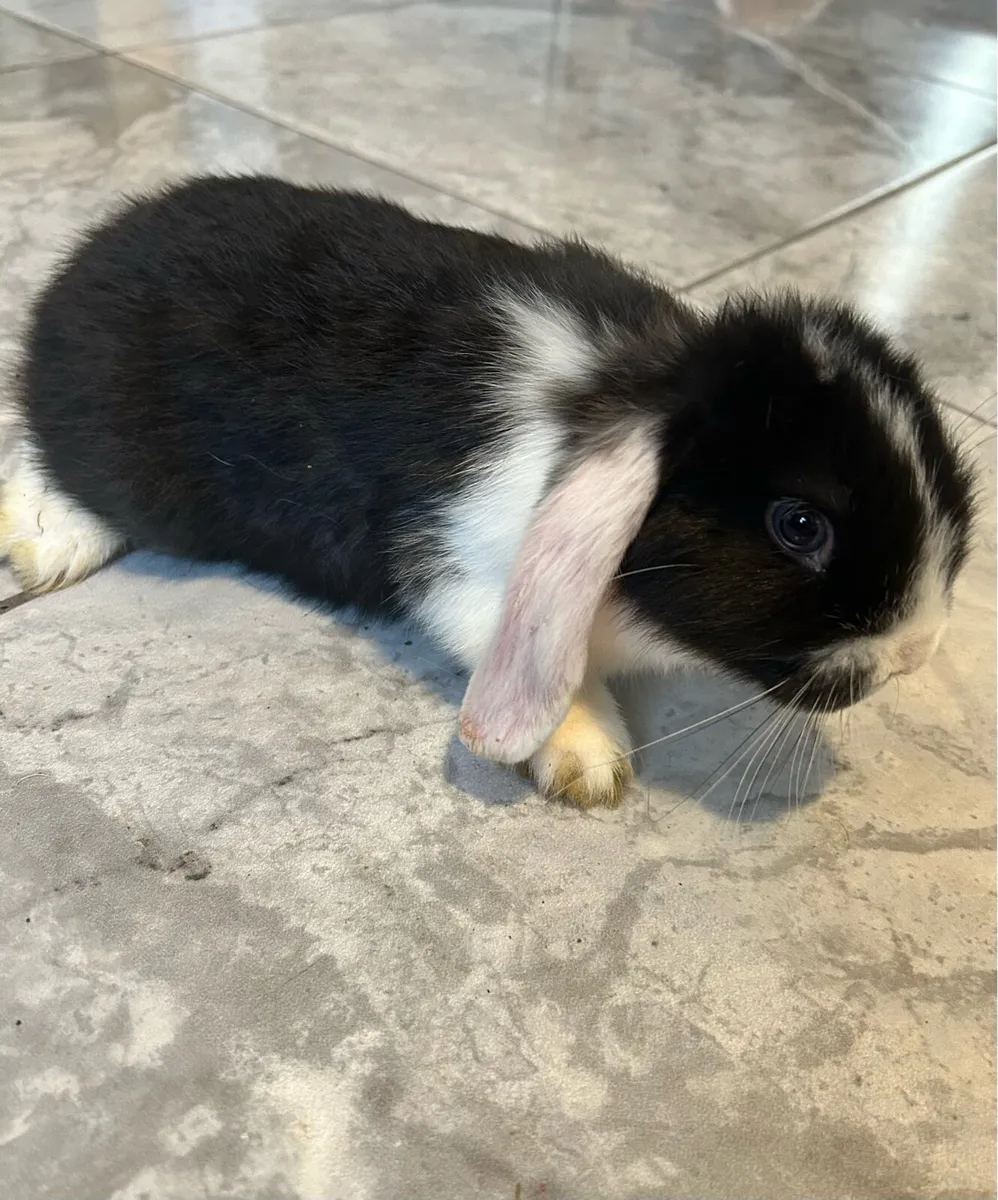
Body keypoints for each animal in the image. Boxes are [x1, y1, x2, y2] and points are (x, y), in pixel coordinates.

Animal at [0, 175, 976, 809]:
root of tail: (77, 269)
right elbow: (537, 657)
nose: (916, 652)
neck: (623, 386)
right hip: (126, 458)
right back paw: (43, 539)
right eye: (799, 524)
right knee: (52, 453)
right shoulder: (464, 570)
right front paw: (588, 761)